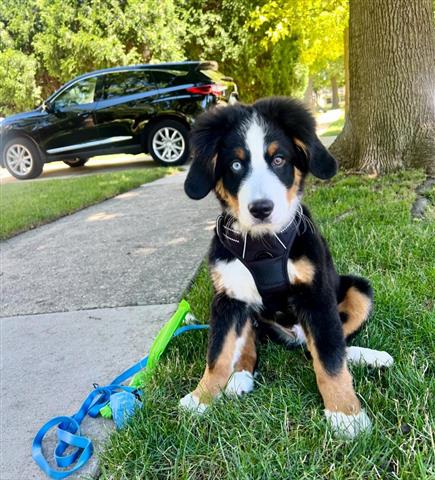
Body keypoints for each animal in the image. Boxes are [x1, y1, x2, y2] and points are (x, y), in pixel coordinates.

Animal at [181, 97, 396, 438]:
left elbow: (330, 358)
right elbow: (218, 354)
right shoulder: (229, 299)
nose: (261, 209)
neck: (264, 245)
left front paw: (345, 416)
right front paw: (200, 399)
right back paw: (240, 376)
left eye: (279, 159)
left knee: (325, 345)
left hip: (359, 289)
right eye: (236, 165)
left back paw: (368, 357)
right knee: (254, 343)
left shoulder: (316, 296)